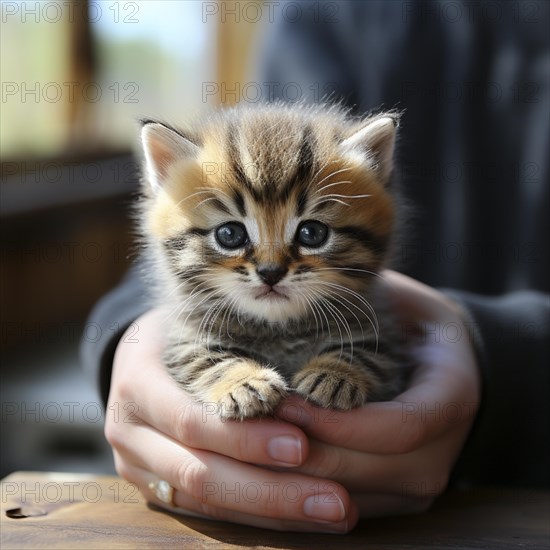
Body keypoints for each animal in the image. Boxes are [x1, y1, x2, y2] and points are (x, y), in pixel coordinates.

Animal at [139, 103, 410, 420]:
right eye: (230, 234)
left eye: (312, 233)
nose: (270, 272)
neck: (278, 329)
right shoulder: (185, 335)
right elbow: (201, 358)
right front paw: (243, 382)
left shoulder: (384, 339)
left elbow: (371, 353)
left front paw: (335, 374)